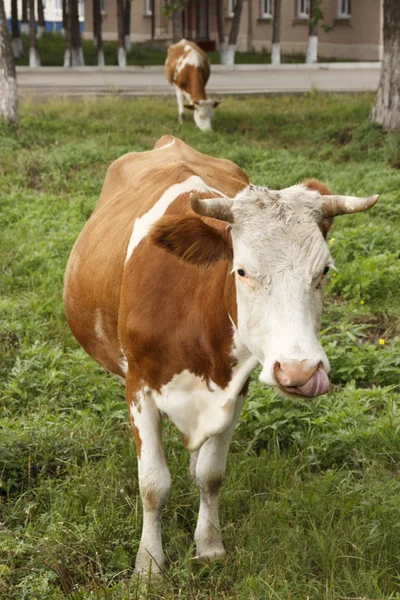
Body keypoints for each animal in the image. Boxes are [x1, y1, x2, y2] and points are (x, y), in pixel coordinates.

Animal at [62, 134, 378, 576]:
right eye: (242, 271)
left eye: (324, 271)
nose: (300, 372)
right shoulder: (138, 385)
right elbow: (152, 483)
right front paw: (149, 564)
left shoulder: (236, 387)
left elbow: (211, 474)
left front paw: (209, 545)